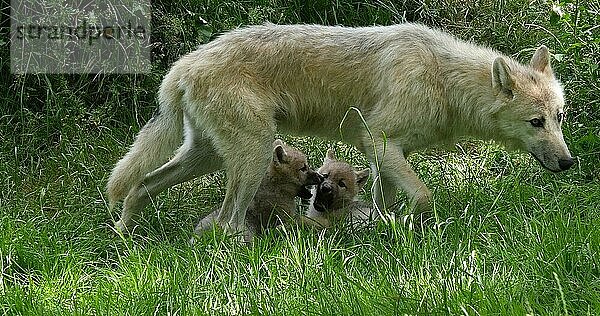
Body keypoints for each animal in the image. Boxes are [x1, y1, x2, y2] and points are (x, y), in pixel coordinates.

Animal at [106, 22, 572, 235]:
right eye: (536, 122)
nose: (569, 163)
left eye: (559, 117)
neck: (443, 80)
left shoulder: (386, 155)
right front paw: (403, 226)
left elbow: (383, 205)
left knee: (140, 185)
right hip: (252, 158)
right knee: (225, 222)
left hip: (205, 158)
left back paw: (127, 240)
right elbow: (423, 197)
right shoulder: (379, 142)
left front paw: (381, 232)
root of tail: (182, 65)